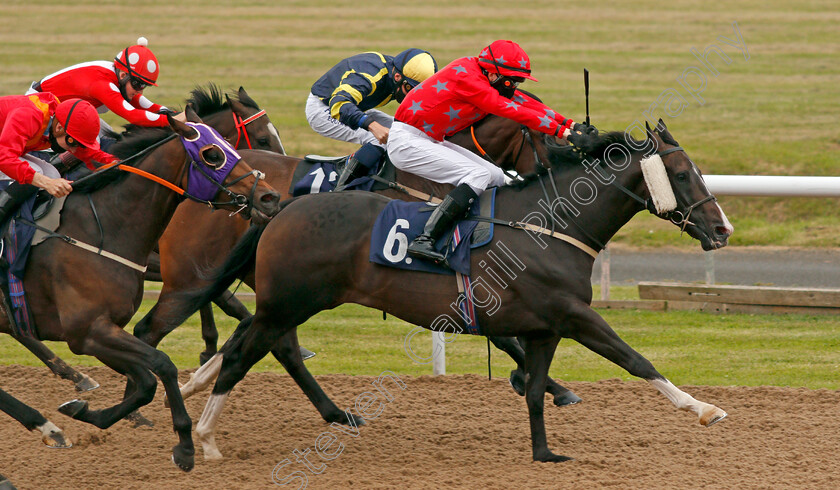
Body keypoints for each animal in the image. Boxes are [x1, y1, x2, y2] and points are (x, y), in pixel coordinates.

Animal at [0, 108, 282, 470]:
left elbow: (147, 380)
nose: (270, 197)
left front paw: (86, 412)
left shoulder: (105, 330)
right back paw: (50, 418)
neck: (101, 229)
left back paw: (51, 423)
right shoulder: (88, 332)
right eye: (212, 155)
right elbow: (162, 363)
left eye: (230, 148)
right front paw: (185, 445)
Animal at [169, 120, 728, 462]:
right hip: (287, 303)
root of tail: (283, 206)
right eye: (683, 173)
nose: (722, 230)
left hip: (288, 304)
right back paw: (207, 436)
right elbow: (635, 359)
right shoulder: (572, 315)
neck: (546, 226)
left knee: (253, 346)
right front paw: (704, 408)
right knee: (243, 355)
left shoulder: (544, 327)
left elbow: (535, 390)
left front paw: (544, 452)